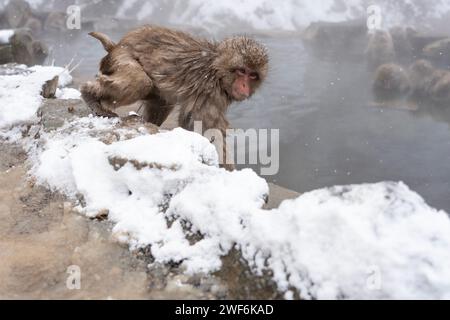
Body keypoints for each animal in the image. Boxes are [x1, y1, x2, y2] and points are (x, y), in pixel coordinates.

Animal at [81, 25, 268, 170]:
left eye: (252, 75)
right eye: (241, 71)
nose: (244, 86)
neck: (217, 70)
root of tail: (116, 46)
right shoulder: (210, 93)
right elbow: (210, 130)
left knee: (162, 100)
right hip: (122, 59)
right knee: (141, 82)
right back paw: (89, 94)